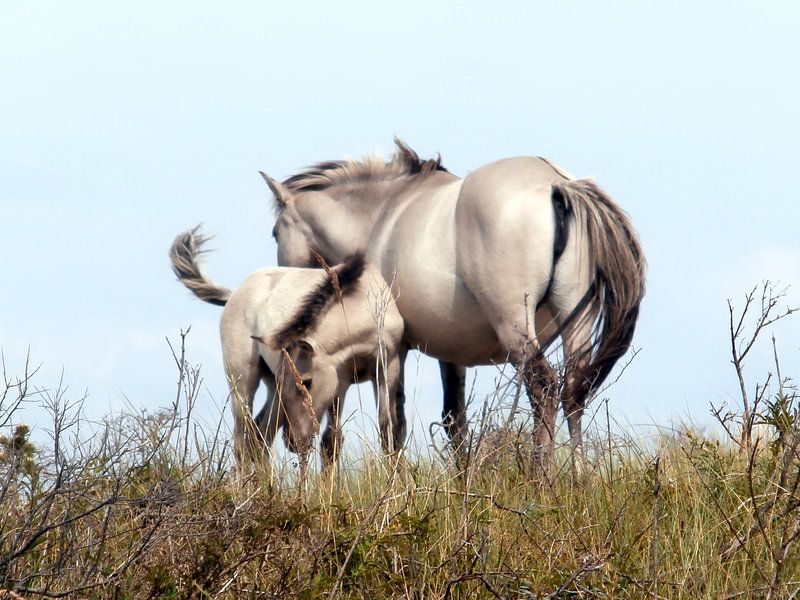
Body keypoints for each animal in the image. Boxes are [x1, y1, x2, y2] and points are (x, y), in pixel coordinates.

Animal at [170, 227, 406, 466]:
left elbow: (385, 426)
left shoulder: (385, 367)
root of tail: (233, 294)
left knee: (261, 435)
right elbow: (331, 441)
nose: (292, 441)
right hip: (244, 382)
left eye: (307, 382)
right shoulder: (340, 379)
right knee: (242, 439)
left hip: (272, 388)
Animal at [260, 142, 648, 474]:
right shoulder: (451, 354)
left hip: (517, 329)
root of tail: (556, 185)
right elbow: (454, 420)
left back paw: (542, 477)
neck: (381, 216)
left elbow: (392, 424)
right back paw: (579, 478)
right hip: (576, 321)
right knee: (573, 391)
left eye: (275, 233)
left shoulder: (393, 349)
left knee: (544, 388)